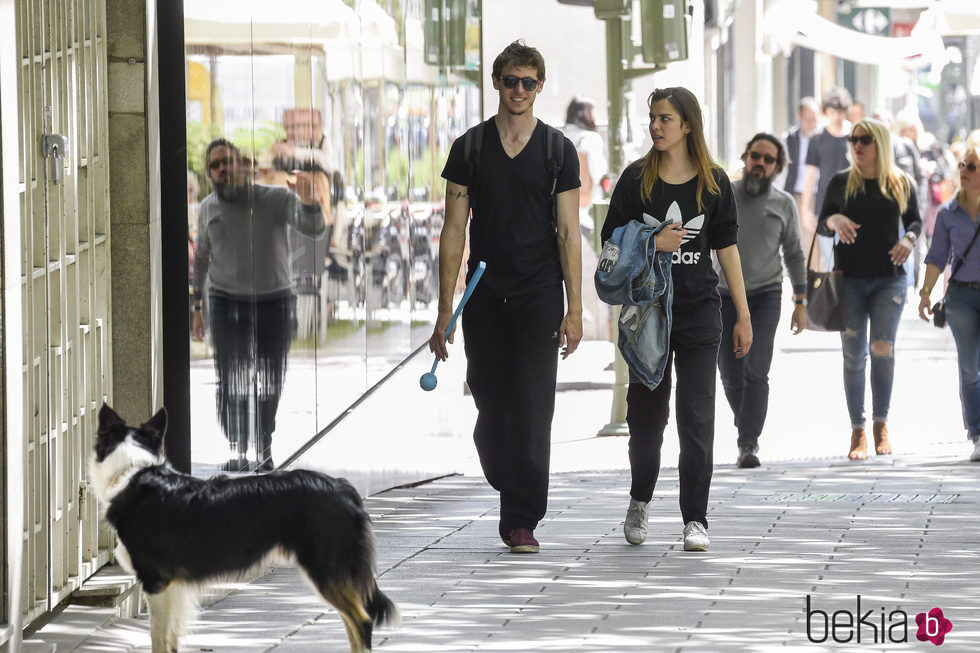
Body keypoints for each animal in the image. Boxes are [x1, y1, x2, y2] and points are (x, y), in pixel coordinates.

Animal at [91, 402, 398, 652]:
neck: (131, 471)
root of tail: (343, 487)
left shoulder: (156, 581)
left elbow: (158, 638)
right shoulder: (174, 586)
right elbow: (172, 638)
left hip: (326, 568)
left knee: (362, 620)